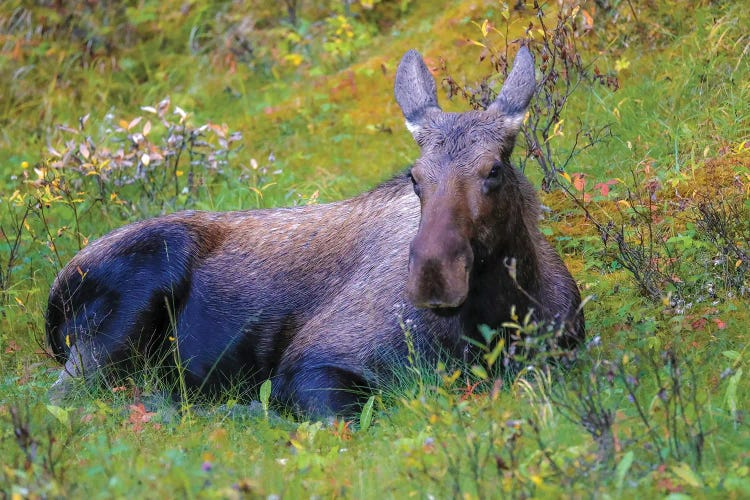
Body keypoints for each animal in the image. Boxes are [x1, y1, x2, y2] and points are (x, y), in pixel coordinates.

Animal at [47, 47, 588, 416]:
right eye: (414, 176)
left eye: (493, 169)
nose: (434, 273)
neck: (499, 317)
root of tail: (50, 307)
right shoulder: (309, 364)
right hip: (129, 303)